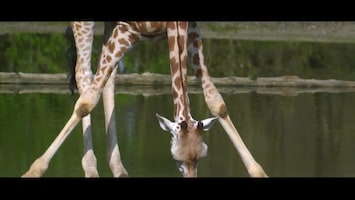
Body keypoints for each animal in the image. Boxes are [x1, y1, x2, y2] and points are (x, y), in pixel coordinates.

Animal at [21, 21, 268, 177]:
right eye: (177, 159)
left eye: (200, 157)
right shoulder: (126, 30)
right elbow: (86, 103)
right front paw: (33, 170)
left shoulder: (191, 30)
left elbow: (217, 101)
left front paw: (259, 171)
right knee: (84, 75)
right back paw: (91, 169)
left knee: (107, 77)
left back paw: (118, 168)